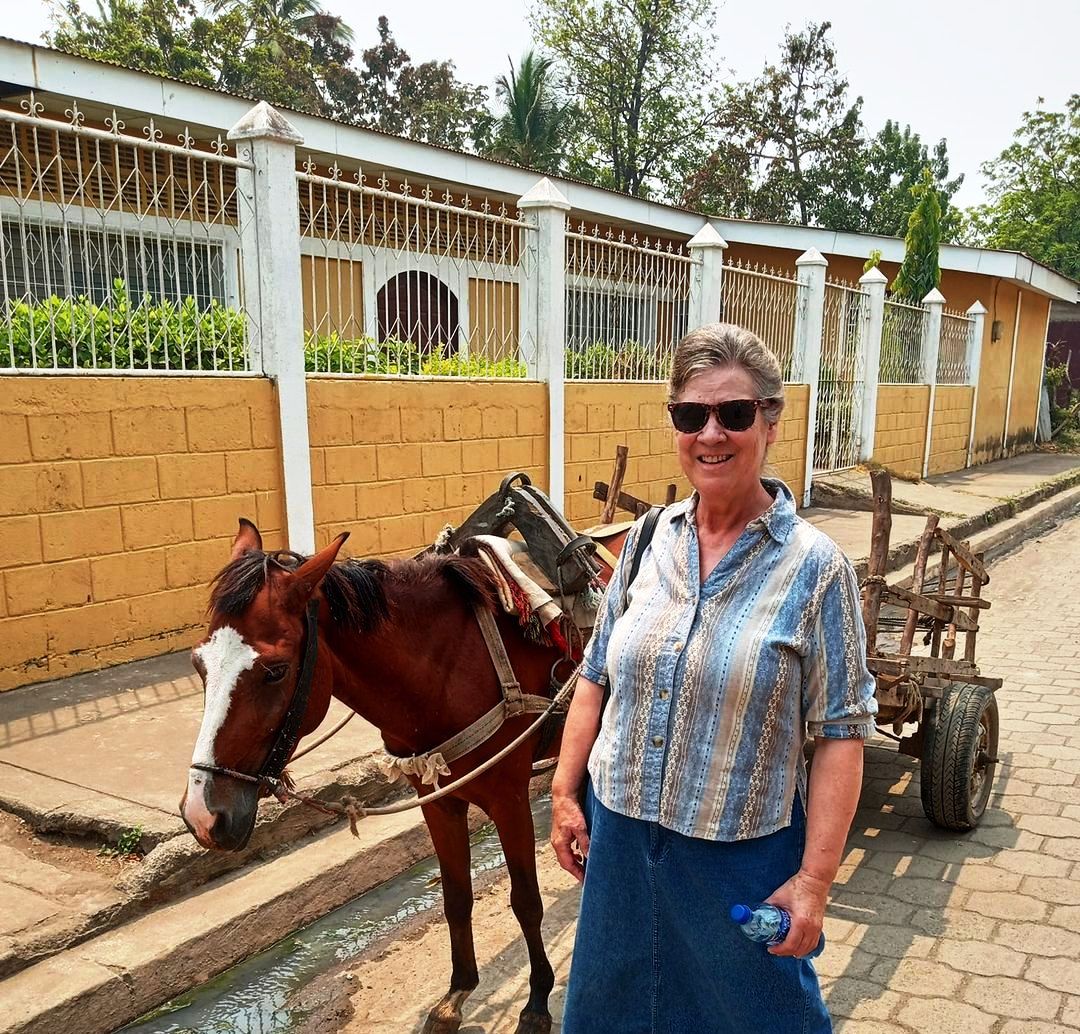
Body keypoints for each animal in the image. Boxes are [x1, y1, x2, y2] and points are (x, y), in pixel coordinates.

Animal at [180, 518, 595, 1034]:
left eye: (275, 671)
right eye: (198, 664)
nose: (202, 816)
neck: (453, 661)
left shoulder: (510, 798)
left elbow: (525, 900)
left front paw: (536, 1002)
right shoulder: (437, 799)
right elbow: (456, 896)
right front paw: (456, 994)